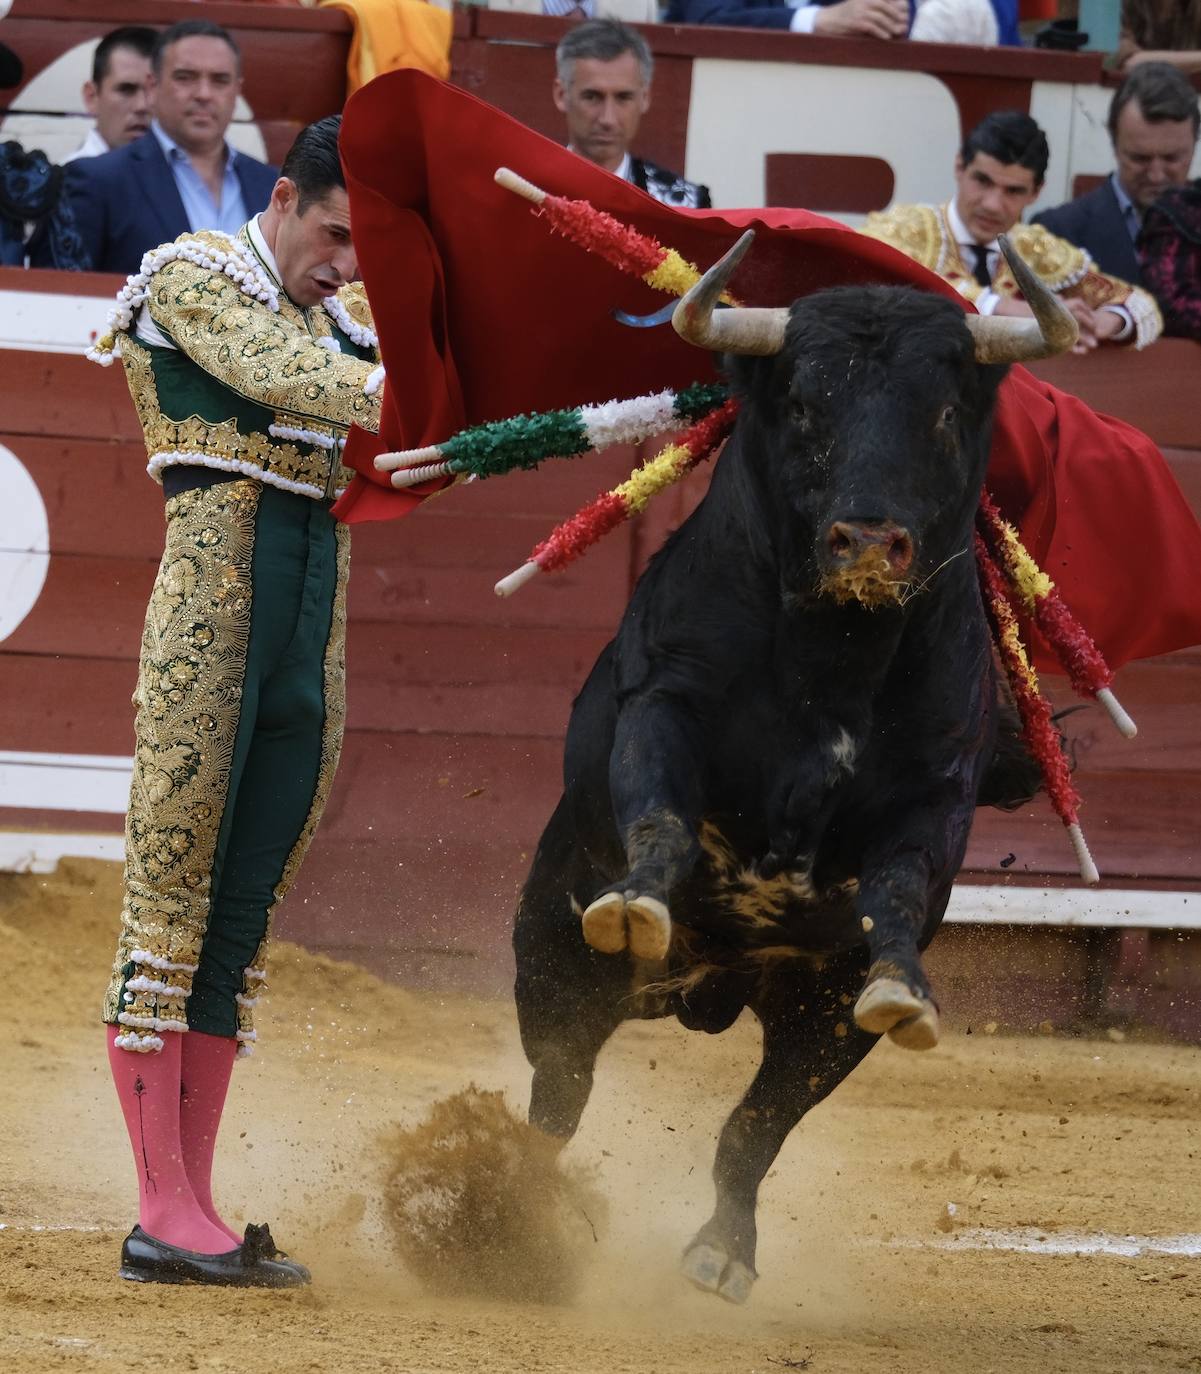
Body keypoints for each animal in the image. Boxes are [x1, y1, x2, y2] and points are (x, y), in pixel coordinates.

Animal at [511, 239, 1071, 1308]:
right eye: (807, 404)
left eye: (943, 413)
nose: (868, 543)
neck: (834, 655)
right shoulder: (666, 701)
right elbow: (661, 812)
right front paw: (638, 900)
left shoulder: (936, 790)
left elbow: (896, 893)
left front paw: (904, 982)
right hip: (553, 962)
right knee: (557, 1095)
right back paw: (505, 1211)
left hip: (814, 1023)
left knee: (758, 1122)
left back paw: (722, 1248)